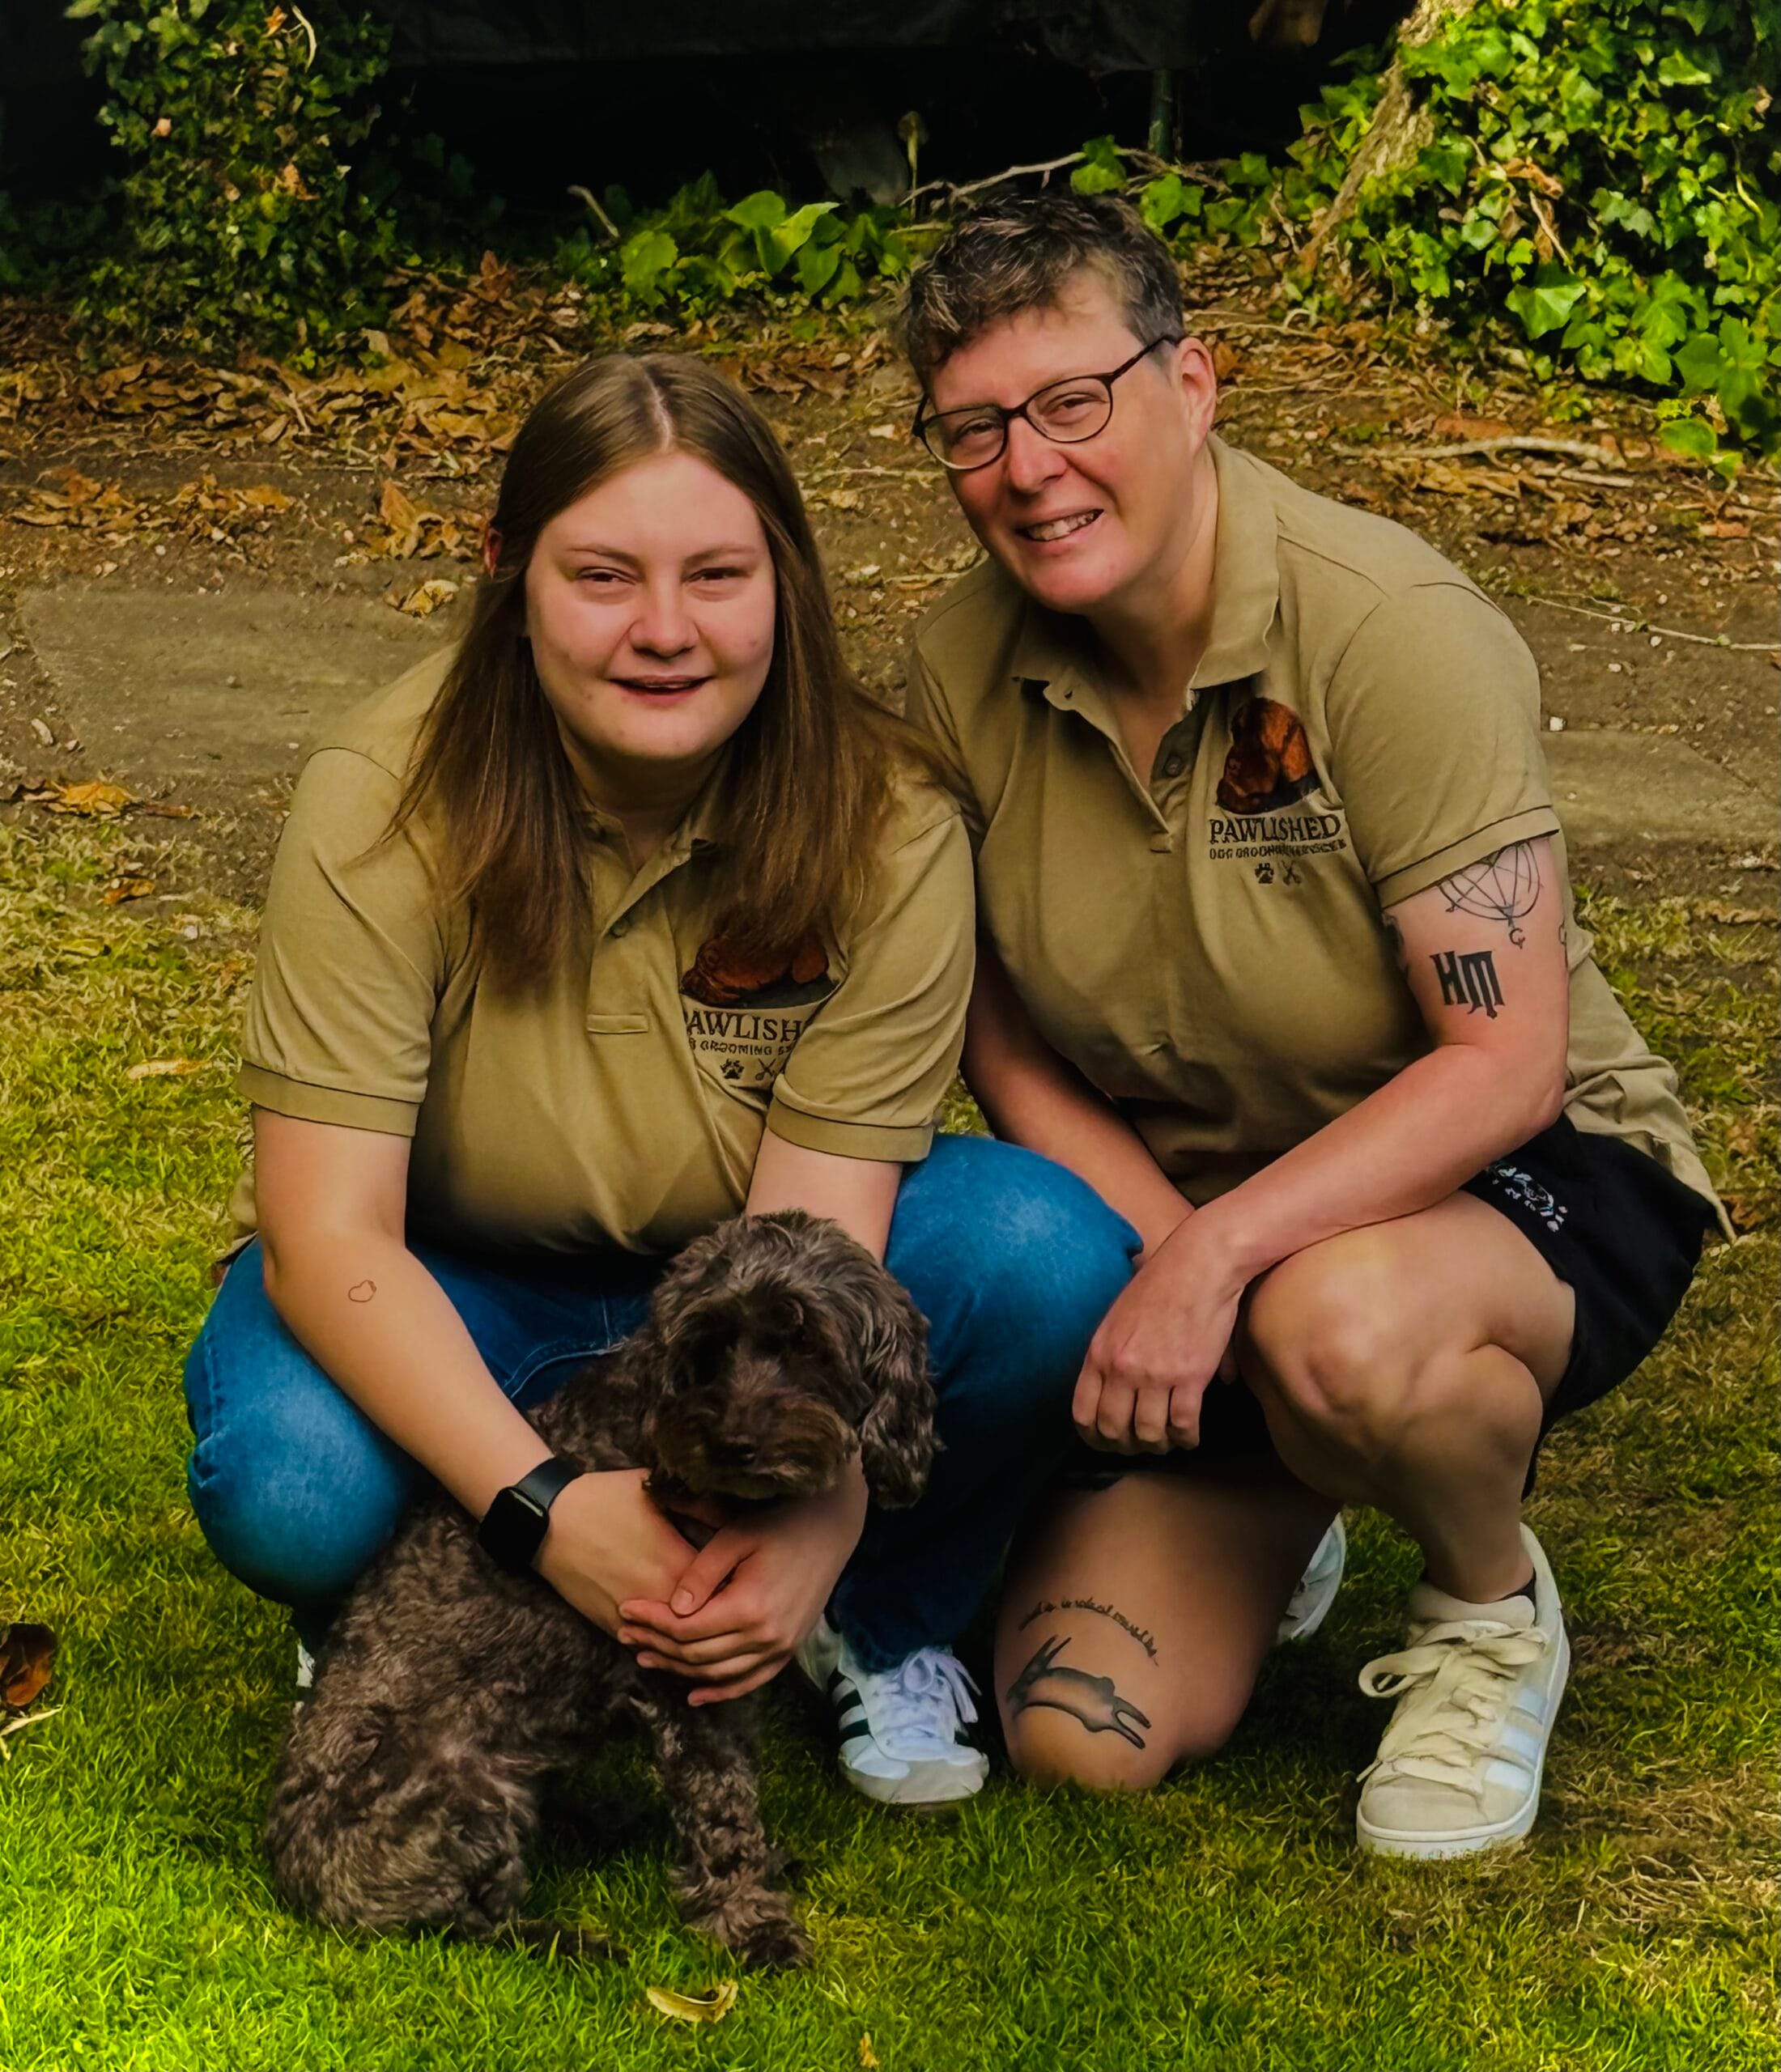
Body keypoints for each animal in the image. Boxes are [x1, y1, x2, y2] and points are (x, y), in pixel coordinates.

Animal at [263, 1210, 936, 1971]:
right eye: (706, 1347)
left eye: (807, 1346)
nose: (733, 1442)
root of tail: (288, 1868)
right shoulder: (684, 1681)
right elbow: (723, 1811)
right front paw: (750, 1921)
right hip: (462, 1790)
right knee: (465, 1925)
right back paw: (569, 1939)